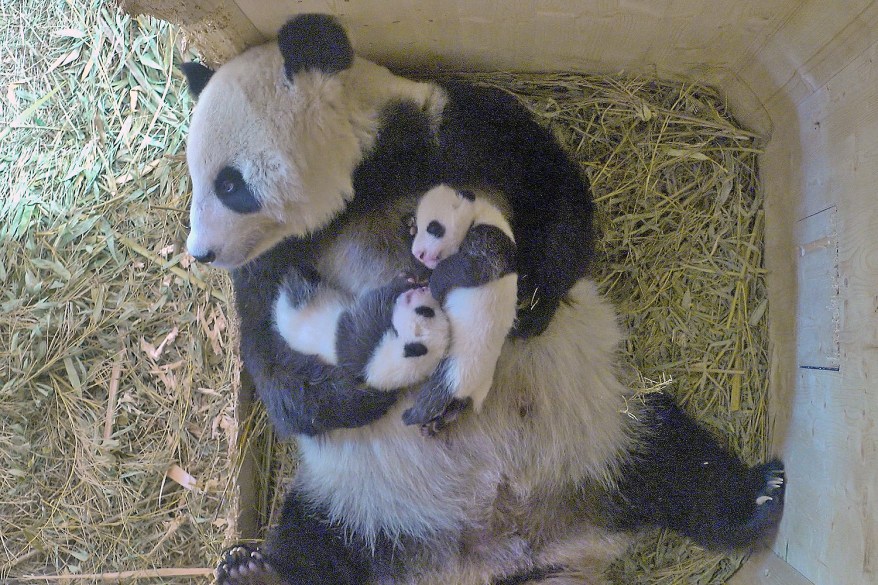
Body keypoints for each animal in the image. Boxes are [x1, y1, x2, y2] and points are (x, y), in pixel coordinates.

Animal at [177, 13, 784, 584]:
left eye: (229, 183)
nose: (201, 252)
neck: (362, 178)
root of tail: (505, 547)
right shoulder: (272, 264)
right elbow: (271, 360)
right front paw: (360, 388)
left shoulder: (450, 128)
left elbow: (552, 186)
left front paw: (529, 298)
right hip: (356, 502)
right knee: (317, 543)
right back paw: (257, 568)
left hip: (604, 424)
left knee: (674, 459)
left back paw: (756, 499)